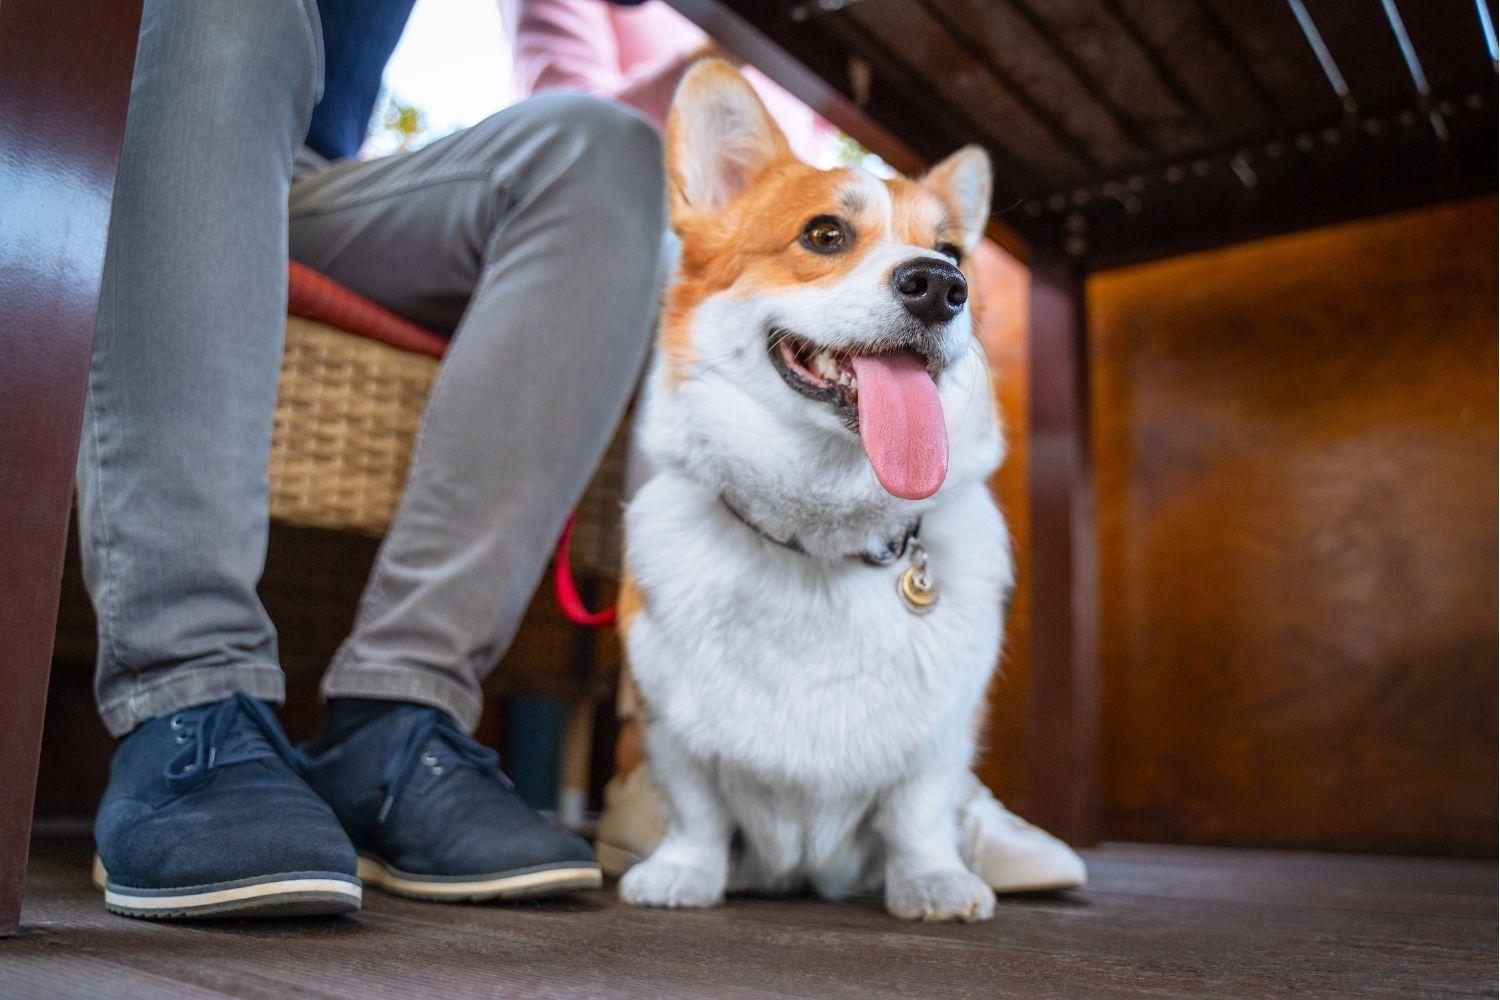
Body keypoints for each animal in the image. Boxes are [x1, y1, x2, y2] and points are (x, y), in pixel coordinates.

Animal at [615, 60, 1014, 923]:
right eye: (825, 235)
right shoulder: (667, 714)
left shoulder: (943, 731)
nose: (942, 285)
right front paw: (683, 873)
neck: (822, 539)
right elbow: (695, 806)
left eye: (952, 250)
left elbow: (920, 810)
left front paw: (931, 881)